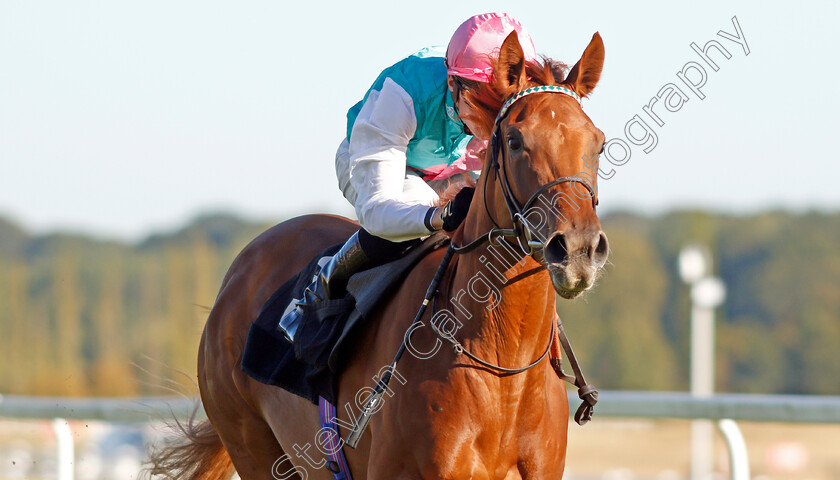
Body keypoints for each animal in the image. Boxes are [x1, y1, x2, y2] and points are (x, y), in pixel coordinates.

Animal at [151, 31, 608, 478]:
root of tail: (241, 269)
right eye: (514, 140)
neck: (502, 368)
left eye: (598, 143)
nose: (578, 250)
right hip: (251, 444)